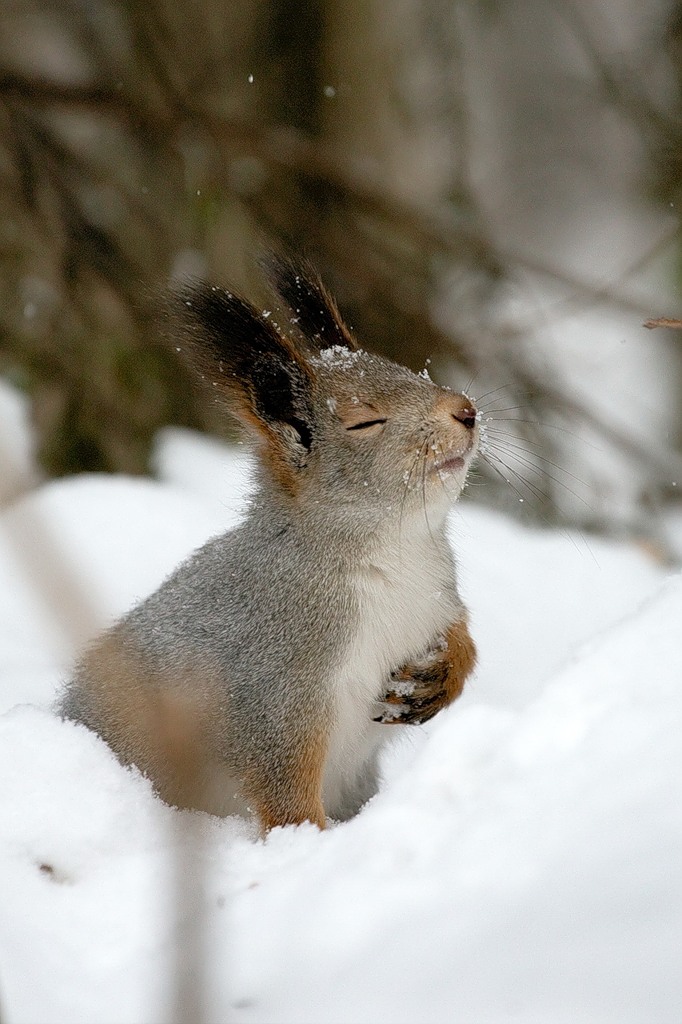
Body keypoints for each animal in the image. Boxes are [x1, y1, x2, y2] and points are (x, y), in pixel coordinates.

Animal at [59, 253, 477, 831]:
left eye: (411, 371)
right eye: (365, 421)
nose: (467, 410)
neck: (396, 553)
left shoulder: (437, 598)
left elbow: (462, 637)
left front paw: (442, 675)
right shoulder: (274, 683)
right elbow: (283, 785)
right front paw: (308, 841)